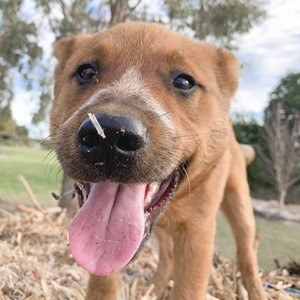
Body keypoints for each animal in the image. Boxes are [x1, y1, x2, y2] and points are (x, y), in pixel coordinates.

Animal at [50, 22, 266, 298]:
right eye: (86, 71)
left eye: (184, 81)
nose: (109, 136)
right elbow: (102, 283)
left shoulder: (198, 232)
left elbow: (188, 289)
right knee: (168, 257)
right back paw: (153, 288)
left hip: (240, 206)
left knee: (247, 250)